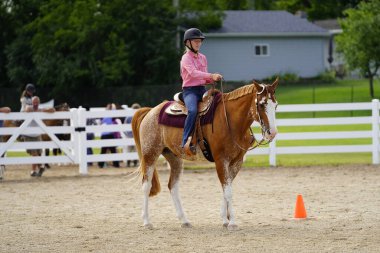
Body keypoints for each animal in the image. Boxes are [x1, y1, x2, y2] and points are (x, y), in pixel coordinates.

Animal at [133, 78, 280, 229]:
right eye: (262, 104)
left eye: (275, 105)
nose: (272, 133)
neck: (230, 121)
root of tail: (151, 111)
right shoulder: (221, 160)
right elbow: (228, 191)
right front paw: (232, 222)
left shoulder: (237, 162)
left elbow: (226, 189)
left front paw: (225, 219)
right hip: (150, 154)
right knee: (146, 186)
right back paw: (147, 221)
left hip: (174, 158)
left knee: (173, 186)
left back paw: (184, 220)